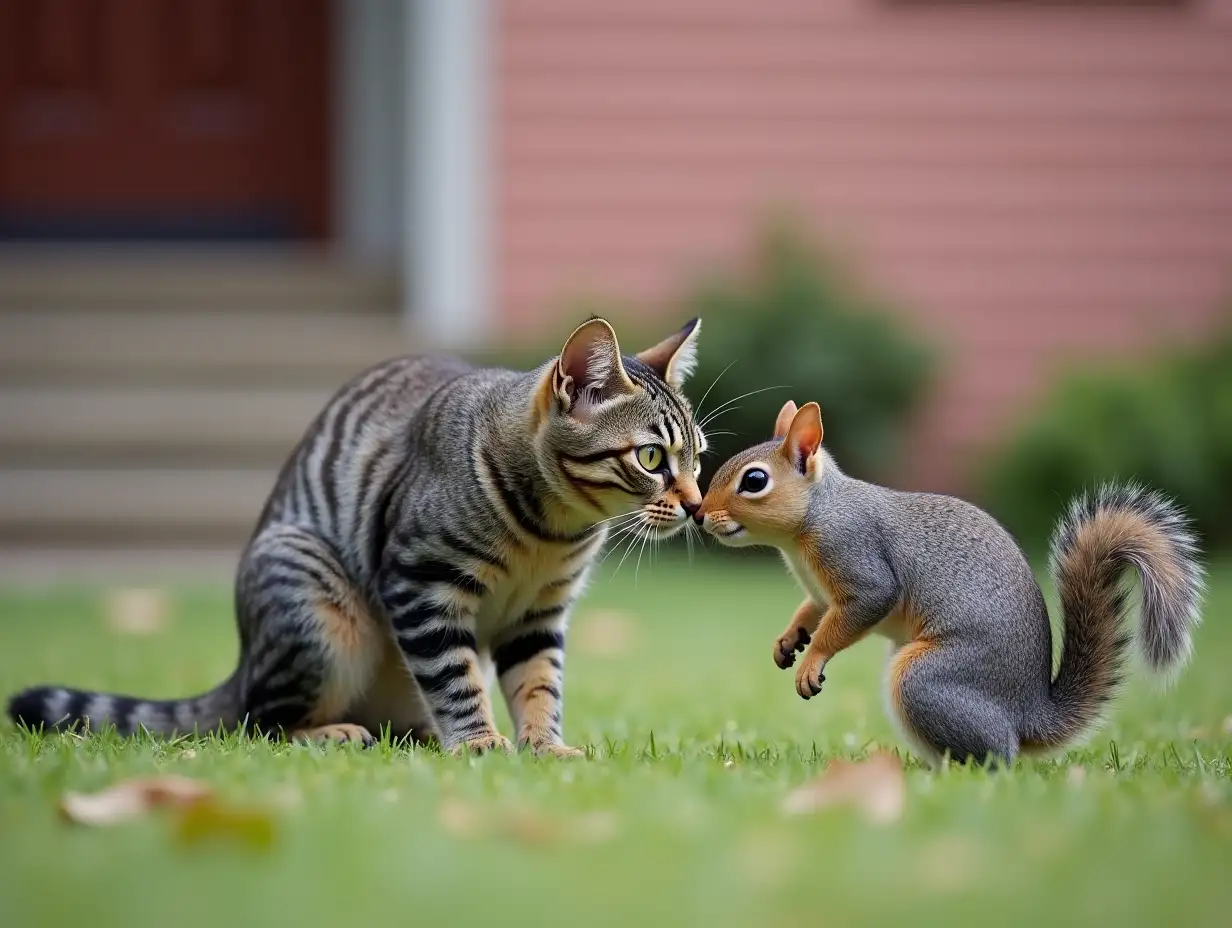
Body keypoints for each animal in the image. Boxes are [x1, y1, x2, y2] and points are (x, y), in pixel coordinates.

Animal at [9, 317, 709, 754]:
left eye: (699, 458)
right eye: (651, 458)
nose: (698, 506)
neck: (553, 533)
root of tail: (242, 661)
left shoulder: (538, 616)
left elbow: (540, 686)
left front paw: (544, 746)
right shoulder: (421, 582)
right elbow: (454, 679)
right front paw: (481, 743)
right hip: (318, 609)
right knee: (255, 723)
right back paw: (335, 734)